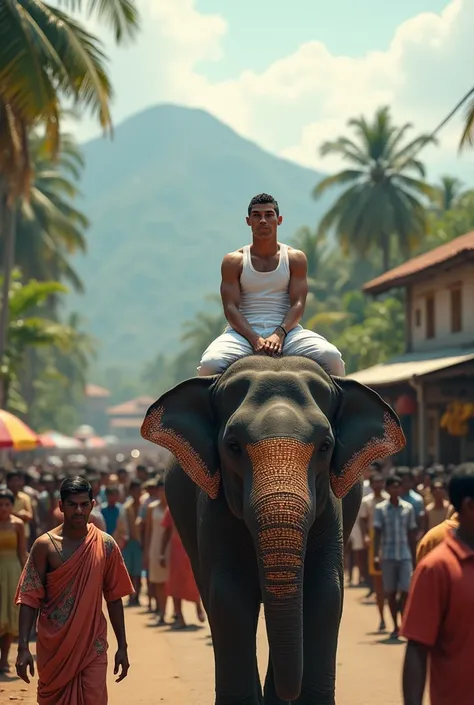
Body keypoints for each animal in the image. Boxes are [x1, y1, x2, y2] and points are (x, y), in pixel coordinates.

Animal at [141, 358, 404, 704]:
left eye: (325, 446)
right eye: (233, 446)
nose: (286, 693)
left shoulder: (332, 511)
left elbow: (324, 592)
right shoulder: (212, 506)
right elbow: (229, 595)